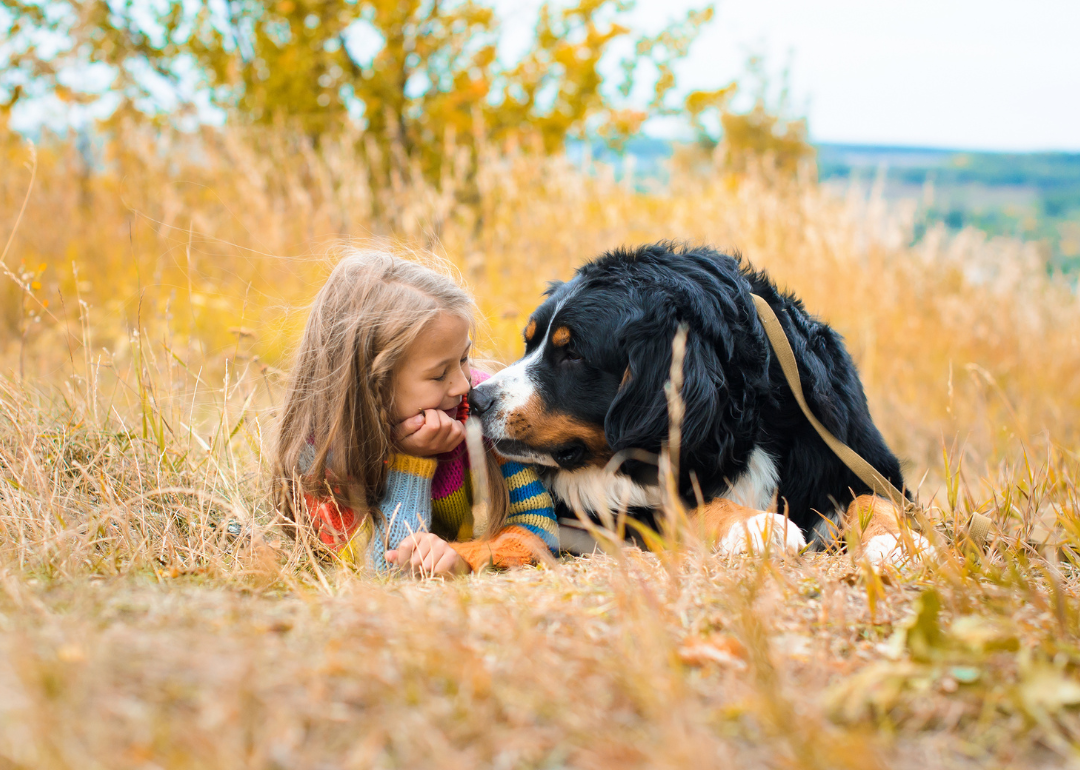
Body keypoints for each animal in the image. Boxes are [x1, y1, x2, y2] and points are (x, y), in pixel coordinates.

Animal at [468, 241, 933, 565]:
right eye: (530, 343)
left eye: (573, 353)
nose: (476, 398)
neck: (741, 424)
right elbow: (698, 507)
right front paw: (757, 525)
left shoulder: (855, 455)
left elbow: (874, 500)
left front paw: (895, 541)